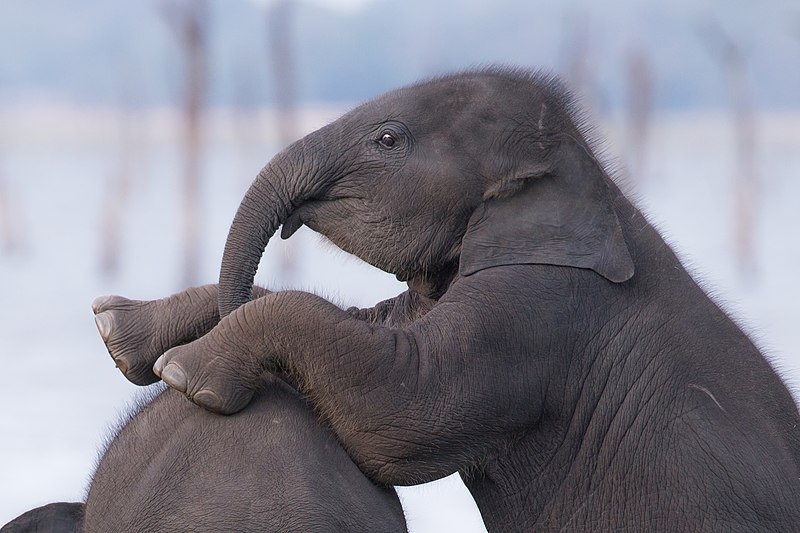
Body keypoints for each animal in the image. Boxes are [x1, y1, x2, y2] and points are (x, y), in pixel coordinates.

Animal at [100, 68, 792, 528]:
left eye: (387, 140)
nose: (225, 310)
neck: (586, 176)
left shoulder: (535, 315)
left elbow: (400, 405)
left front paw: (185, 373)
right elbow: (371, 328)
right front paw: (116, 331)